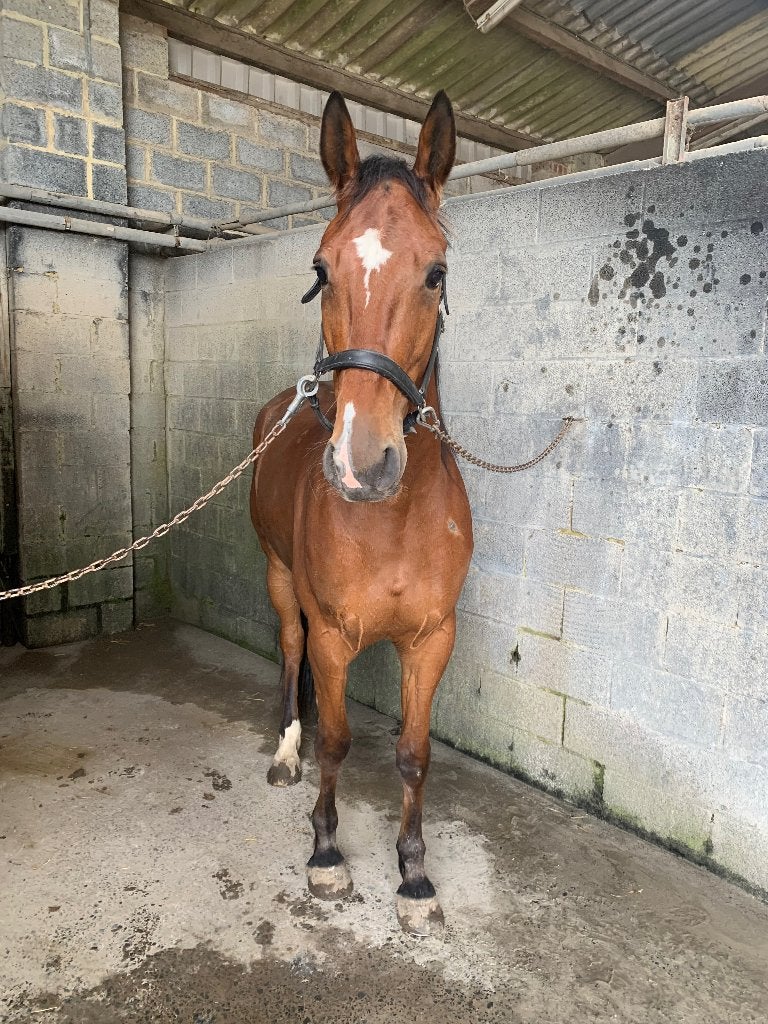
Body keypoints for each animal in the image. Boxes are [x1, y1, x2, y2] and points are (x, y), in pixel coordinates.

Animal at [250, 90, 473, 936]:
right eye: (321, 269)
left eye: (436, 273)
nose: (363, 465)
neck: (394, 520)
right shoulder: (335, 636)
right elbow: (341, 742)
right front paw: (326, 853)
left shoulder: (432, 640)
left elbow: (413, 754)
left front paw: (413, 875)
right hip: (280, 578)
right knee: (288, 652)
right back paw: (286, 752)